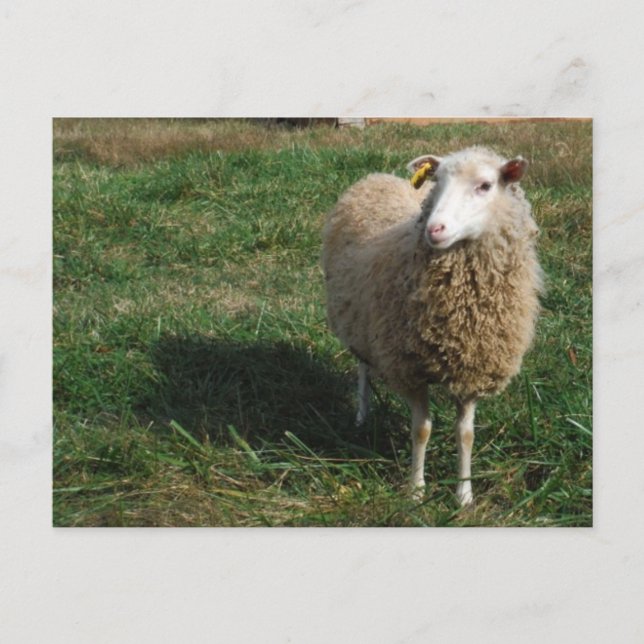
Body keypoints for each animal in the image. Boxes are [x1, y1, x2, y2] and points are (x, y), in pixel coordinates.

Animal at [322, 146, 542, 506]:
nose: (434, 229)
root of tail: (376, 176)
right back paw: (361, 415)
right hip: (359, 325)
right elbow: (422, 430)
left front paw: (464, 495)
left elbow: (465, 435)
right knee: (363, 368)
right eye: (436, 181)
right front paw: (416, 490)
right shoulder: (410, 369)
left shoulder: (473, 370)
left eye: (485, 185)